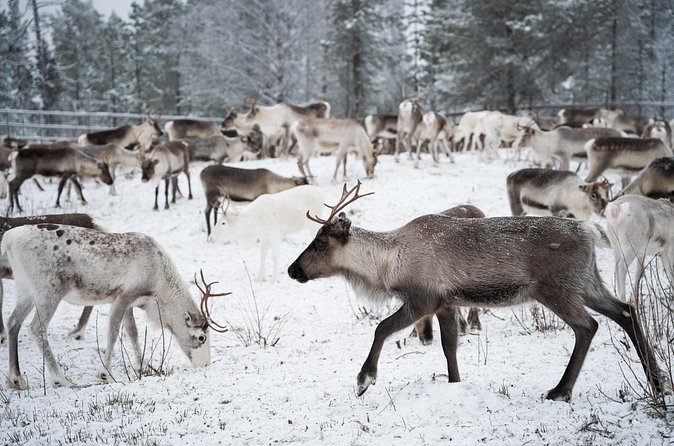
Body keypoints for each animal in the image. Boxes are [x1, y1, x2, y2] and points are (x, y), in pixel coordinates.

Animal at [0, 224, 228, 390]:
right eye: (201, 337)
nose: (205, 364)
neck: (159, 282)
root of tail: (9, 239)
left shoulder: (130, 303)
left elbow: (133, 332)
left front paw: (143, 367)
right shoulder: (123, 296)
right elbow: (113, 332)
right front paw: (105, 374)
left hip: (25, 289)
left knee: (13, 322)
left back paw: (16, 379)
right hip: (49, 290)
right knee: (36, 328)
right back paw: (61, 379)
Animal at [287, 181, 663, 401]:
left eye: (320, 243)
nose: (292, 270)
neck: (388, 265)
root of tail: (590, 230)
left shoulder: (422, 299)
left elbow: (381, 328)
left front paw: (365, 380)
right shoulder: (445, 303)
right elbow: (449, 347)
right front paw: (455, 383)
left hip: (557, 288)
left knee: (588, 326)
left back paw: (560, 391)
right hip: (586, 282)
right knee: (626, 310)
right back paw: (657, 382)